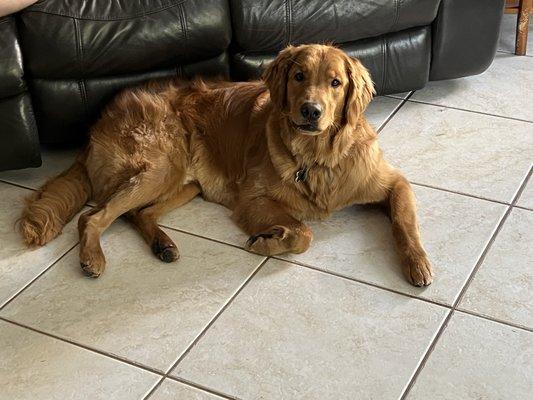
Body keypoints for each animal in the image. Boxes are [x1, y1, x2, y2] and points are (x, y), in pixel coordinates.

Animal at [19, 44, 432, 284]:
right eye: (299, 76)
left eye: (335, 83)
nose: (310, 112)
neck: (316, 156)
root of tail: (96, 124)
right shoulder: (253, 199)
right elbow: (304, 234)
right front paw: (268, 241)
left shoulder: (393, 182)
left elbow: (405, 222)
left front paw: (418, 263)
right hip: (160, 168)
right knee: (94, 217)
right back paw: (92, 257)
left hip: (183, 183)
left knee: (137, 213)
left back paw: (163, 244)